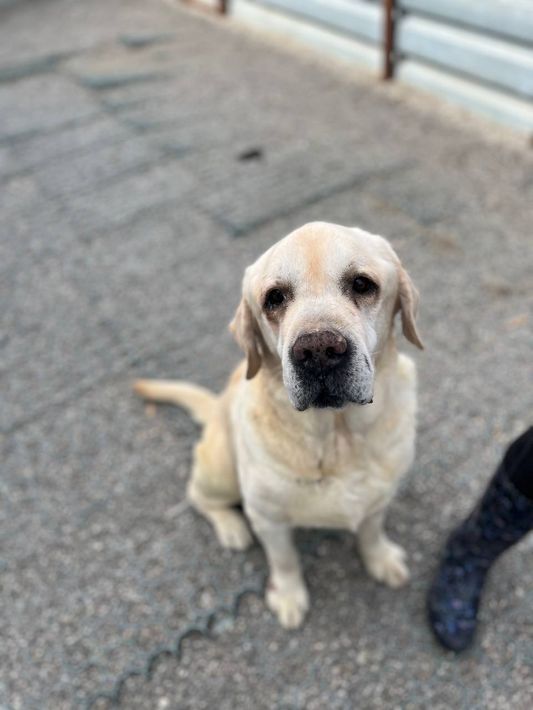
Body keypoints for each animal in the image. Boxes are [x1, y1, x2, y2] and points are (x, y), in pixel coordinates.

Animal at [134, 222, 423, 629]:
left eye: (362, 284)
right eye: (274, 298)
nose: (318, 351)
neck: (336, 438)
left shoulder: (379, 497)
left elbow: (370, 531)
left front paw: (380, 559)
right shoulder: (268, 517)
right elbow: (284, 561)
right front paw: (288, 596)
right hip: (221, 471)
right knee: (197, 496)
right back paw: (231, 527)